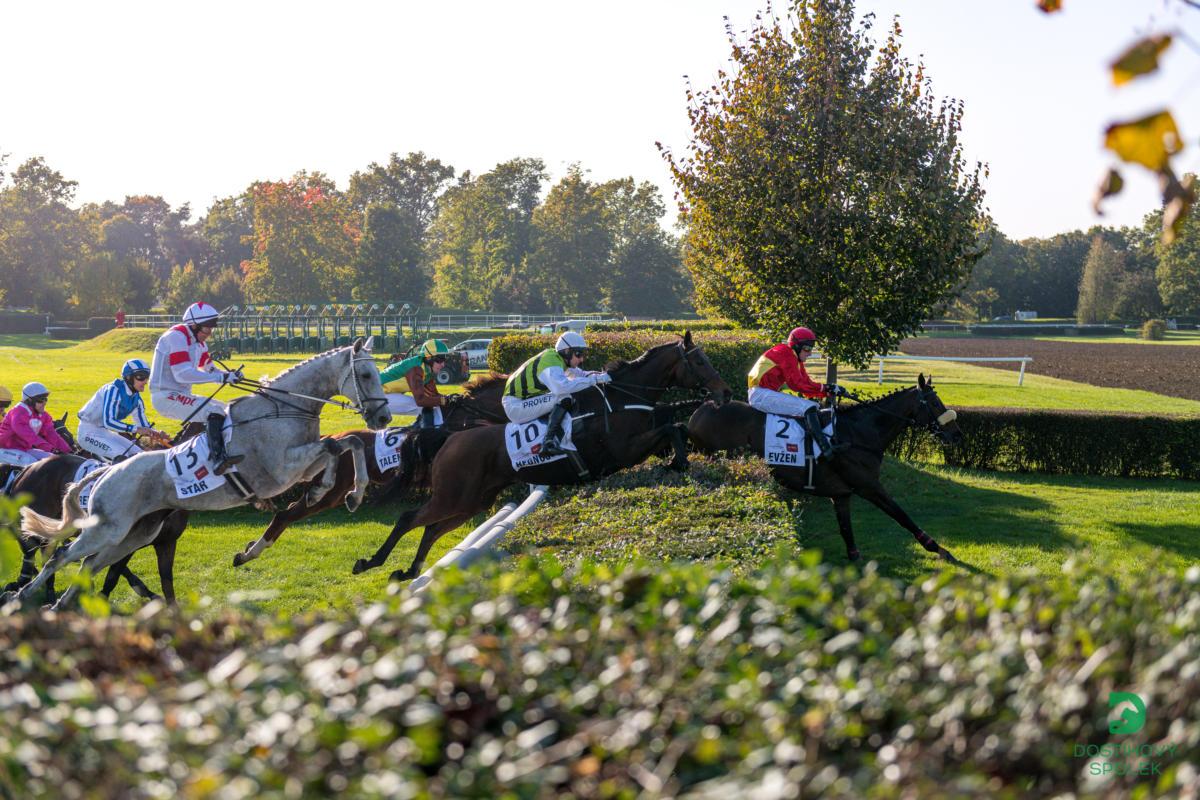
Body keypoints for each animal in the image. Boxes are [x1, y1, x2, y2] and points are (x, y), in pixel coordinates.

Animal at [10, 335, 393, 606]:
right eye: (365, 374)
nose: (384, 417)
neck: (284, 408)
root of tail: (105, 473)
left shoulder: (297, 465)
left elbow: (348, 444)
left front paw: (350, 493)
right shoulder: (281, 469)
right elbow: (335, 447)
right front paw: (326, 489)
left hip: (135, 534)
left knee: (88, 565)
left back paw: (59, 605)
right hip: (107, 528)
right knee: (59, 555)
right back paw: (23, 596)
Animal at [230, 371, 506, 566]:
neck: (466, 420)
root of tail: (331, 437)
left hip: (332, 494)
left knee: (288, 511)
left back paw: (250, 550)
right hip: (331, 493)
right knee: (284, 516)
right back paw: (248, 554)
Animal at [350, 331, 734, 582]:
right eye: (700, 360)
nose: (726, 392)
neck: (621, 399)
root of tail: (450, 436)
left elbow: (675, 428)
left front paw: (677, 459)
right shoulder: (624, 451)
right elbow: (671, 428)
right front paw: (678, 461)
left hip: (472, 501)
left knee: (429, 528)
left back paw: (409, 571)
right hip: (453, 495)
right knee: (408, 518)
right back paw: (370, 563)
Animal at [691, 376, 960, 563]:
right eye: (935, 402)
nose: (955, 434)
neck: (858, 433)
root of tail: (700, 410)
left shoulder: (841, 494)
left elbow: (846, 529)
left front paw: (855, 560)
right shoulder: (868, 486)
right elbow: (902, 515)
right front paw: (939, 548)